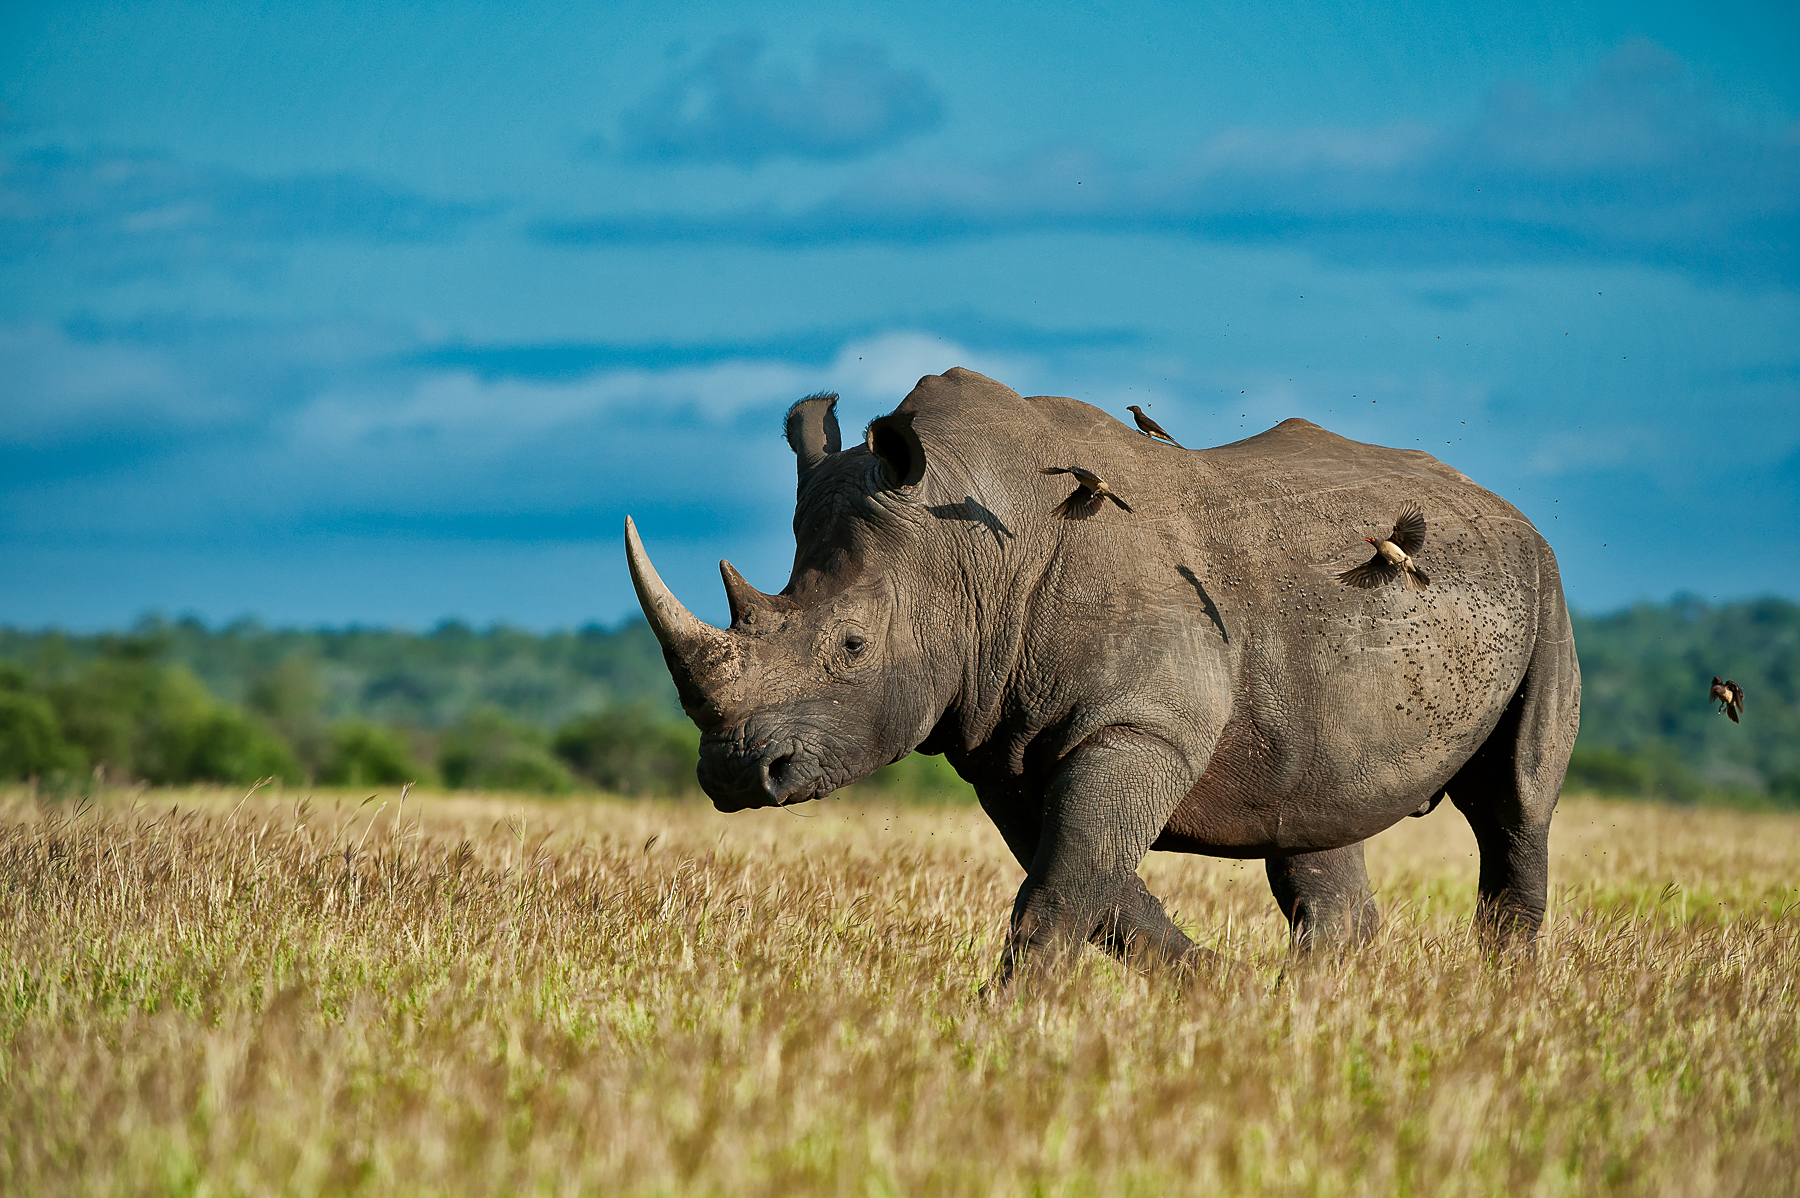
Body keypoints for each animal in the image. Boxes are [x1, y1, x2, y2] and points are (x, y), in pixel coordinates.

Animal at [625, 368, 1580, 980]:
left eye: (854, 647)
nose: (736, 774)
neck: (966, 549)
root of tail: (1500, 504)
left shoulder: (1135, 724)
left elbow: (1064, 884)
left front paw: (1006, 1023)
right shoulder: (1008, 745)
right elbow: (1096, 888)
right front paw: (1218, 990)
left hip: (1544, 583)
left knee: (1515, 805)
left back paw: (1499, 1001)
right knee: (1312, 813)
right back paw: (1313, 1001)